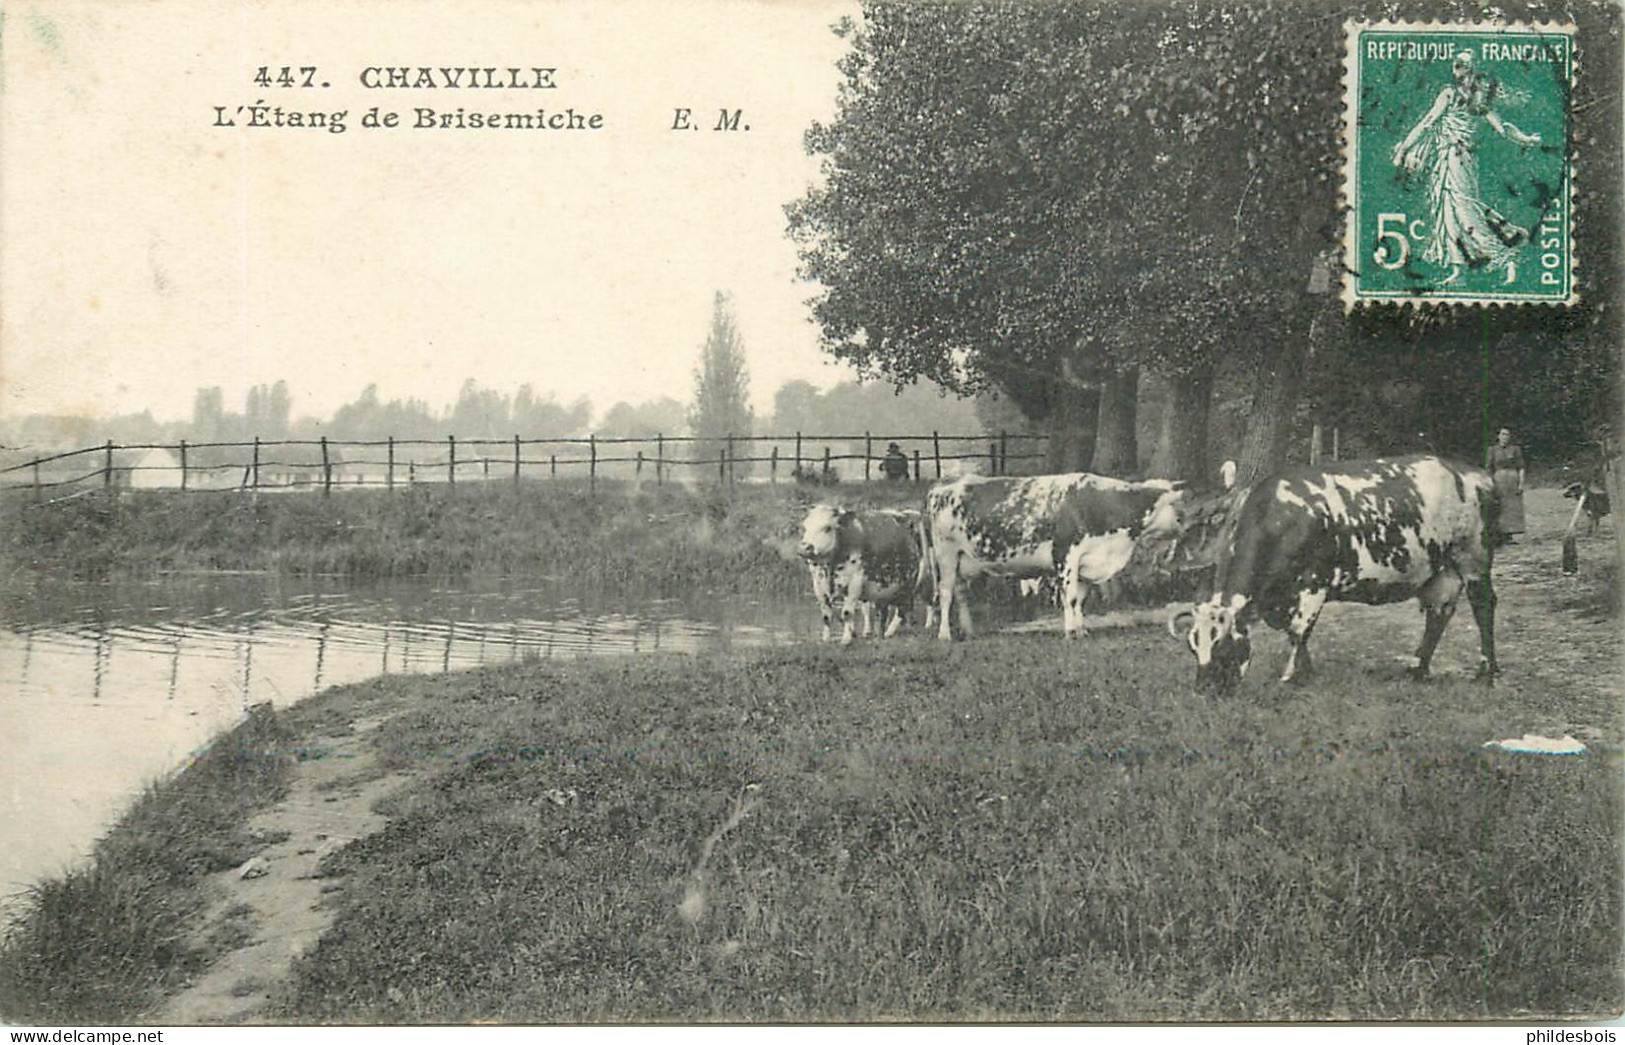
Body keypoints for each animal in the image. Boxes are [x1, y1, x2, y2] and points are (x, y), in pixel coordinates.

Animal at [796, 507, 929, 646]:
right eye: (804, 527)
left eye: (827, 528)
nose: (804, 548)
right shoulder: (818, 584)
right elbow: (826, 615)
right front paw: (826, 639)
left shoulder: (855, 582)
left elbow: (847, 613)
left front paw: (846, 639)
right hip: (884, 588)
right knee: (883, 611)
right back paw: (878, 634)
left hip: (909, 584)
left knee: (903, 609)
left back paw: (891, 632)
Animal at [929, 471, 1183, 637]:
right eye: (1174, 507)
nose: (1183, 525)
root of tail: (945, 482)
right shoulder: (1065, 554)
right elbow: (1069, 597)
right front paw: (1070, 631)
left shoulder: (1084, 563)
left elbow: (1079, 598)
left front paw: (1081, 630)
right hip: (945, 554)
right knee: (945, 593)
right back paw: (945, 635)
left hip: (962, 559)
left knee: (960, 593)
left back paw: (968, 631)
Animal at [1170, 455, 1495, 695]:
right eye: (1193, 646)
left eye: (1222, 645)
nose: (1204, 689)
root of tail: (1473, 472)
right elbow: (1294, 634)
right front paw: (1307, 673)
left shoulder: (1314, 585)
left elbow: (1298, 631)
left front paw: (1292, 677)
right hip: (1439, 569)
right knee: (1438, 613)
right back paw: (1419, 669)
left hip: (1473, 556)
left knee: (1483, 605)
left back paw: (1486, 672)